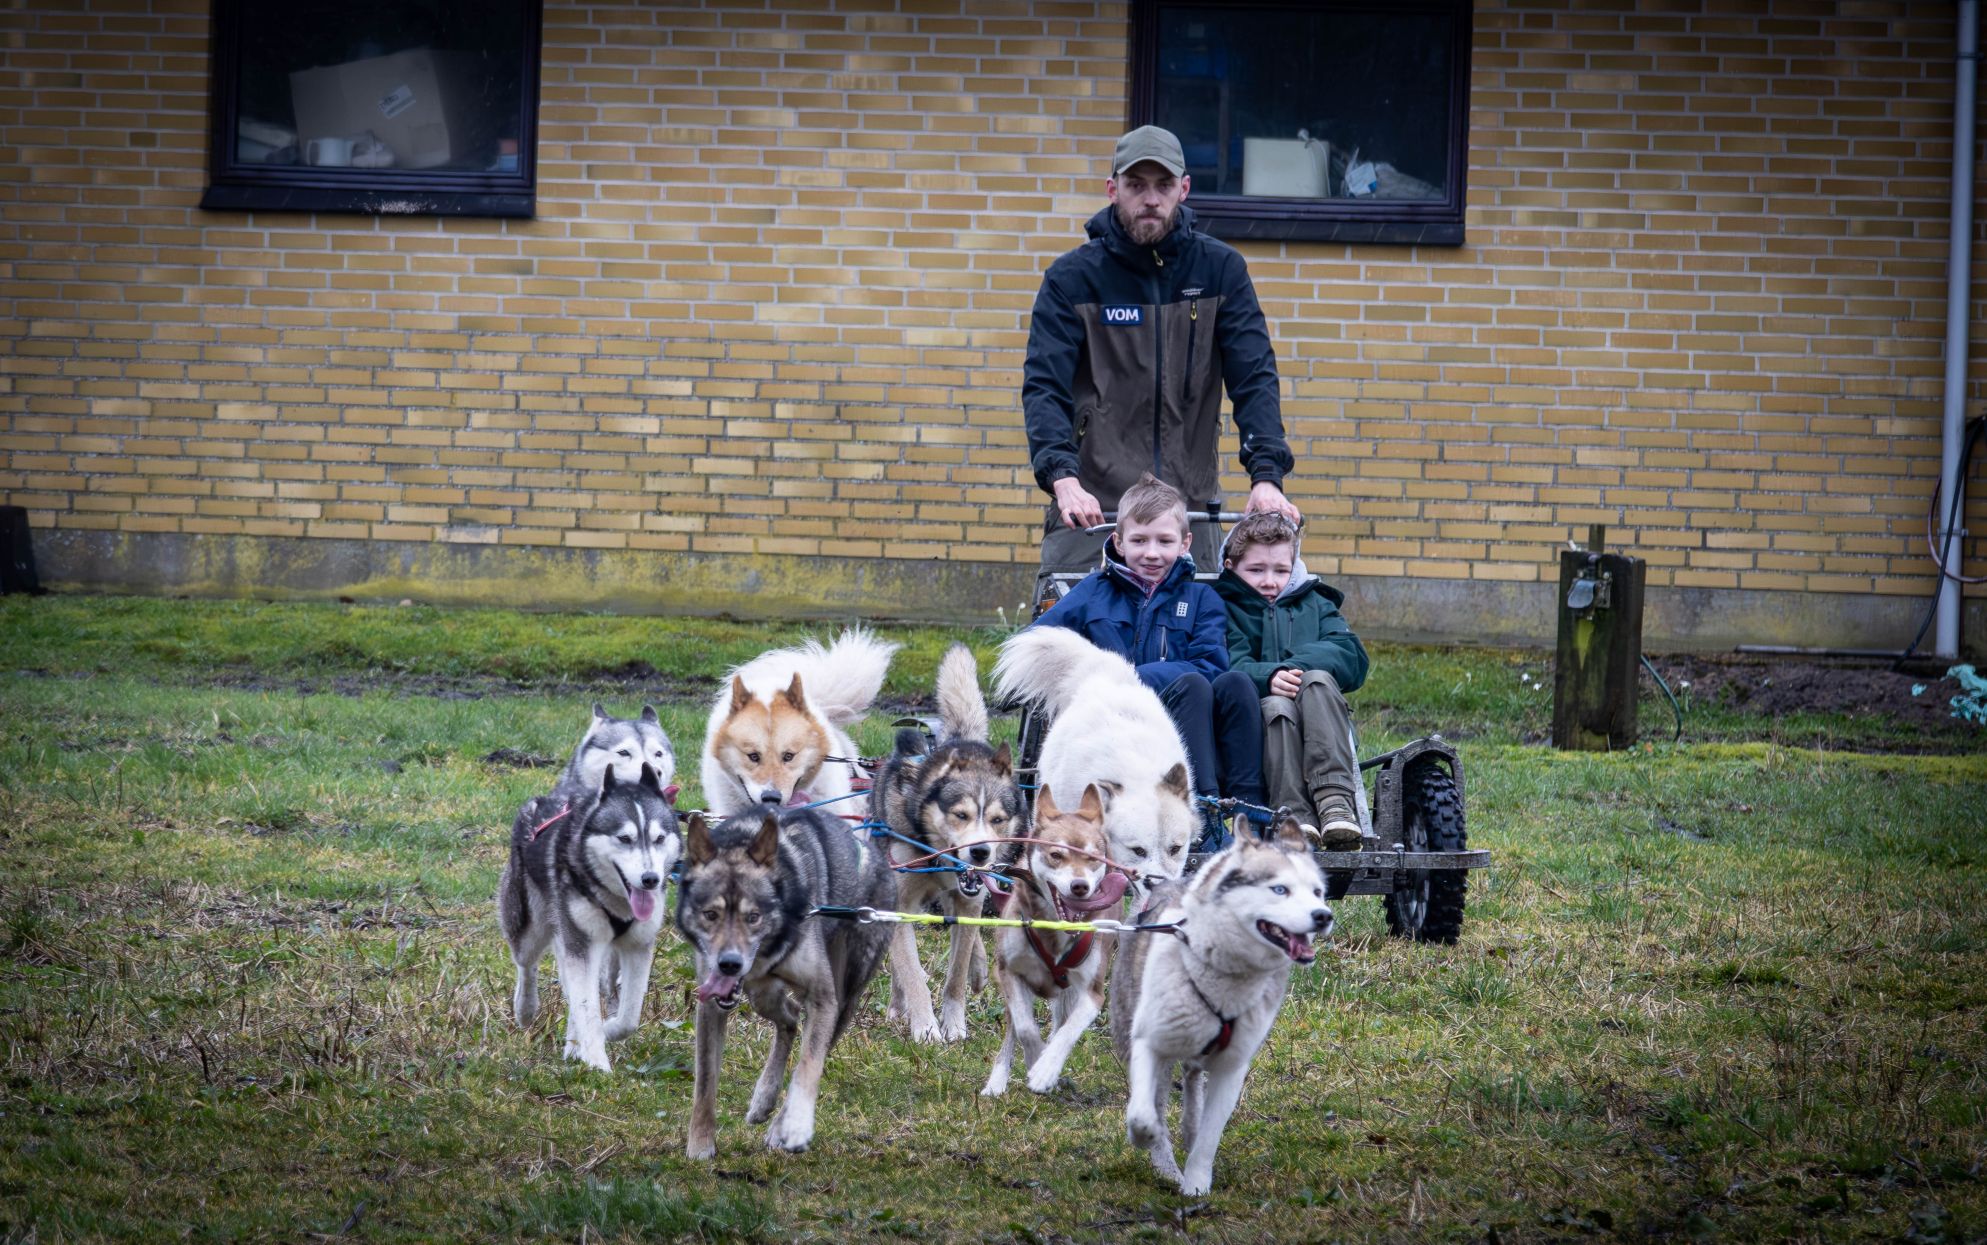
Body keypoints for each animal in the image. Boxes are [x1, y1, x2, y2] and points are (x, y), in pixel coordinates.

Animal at [497, 762, 681, 1072]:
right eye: (624, 839)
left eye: (659, 839)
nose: (650, 880)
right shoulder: (581, 944)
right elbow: (587, 1007)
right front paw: (597, 1064)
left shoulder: (637, 947)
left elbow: (629, 1017)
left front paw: (605, 1033)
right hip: (531, 927)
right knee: (526, 964)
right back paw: (526, 1009)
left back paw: (573, 1046)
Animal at [677, 805, 896, 1157]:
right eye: (710, 915)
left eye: (754, 917)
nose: (729, 964)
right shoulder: (711, 1005)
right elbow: (705, 1081)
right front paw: (700, 1144)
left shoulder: (823, 998)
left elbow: (809, 1065)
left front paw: (796, 1126)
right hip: (763, 994)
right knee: (790, 1019)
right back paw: (764, 1098)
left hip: (844, 998)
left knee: (815, 1044)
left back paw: (780, 1124)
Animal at [868, 644, 1023, 1042]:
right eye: (960, 815)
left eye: (997, 819)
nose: (980, 851)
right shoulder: (901, 905)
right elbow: (911, 973)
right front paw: (925, 1028)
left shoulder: (968, 901)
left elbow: (955, 975)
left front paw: (953, 1024)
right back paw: (898, 1007)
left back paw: (979, 968)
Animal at [979, 782, 1130, 1096]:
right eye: (1056, 855)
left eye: (1092, 858)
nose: (1080, 886)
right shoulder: (1009, 972)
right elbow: (1025, 1029)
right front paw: (1035, 1057)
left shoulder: (1093, 992)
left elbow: (1068, 1031)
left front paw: (1046, 1069)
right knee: (1013, 1029)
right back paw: (997, 1082)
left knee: (1060, 1022)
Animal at [1109, 816, 1333, 1196]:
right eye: (1280, 889)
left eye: (1317, 891)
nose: (1323, 916)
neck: (1222, 976)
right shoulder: (1149, 1042)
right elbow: (1144, 1114)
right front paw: (1150, 1142)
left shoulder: (1232, 1066)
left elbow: (1209, 1136)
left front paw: (1196, 1184)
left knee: (1192, 1078)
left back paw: (1190, 1126)